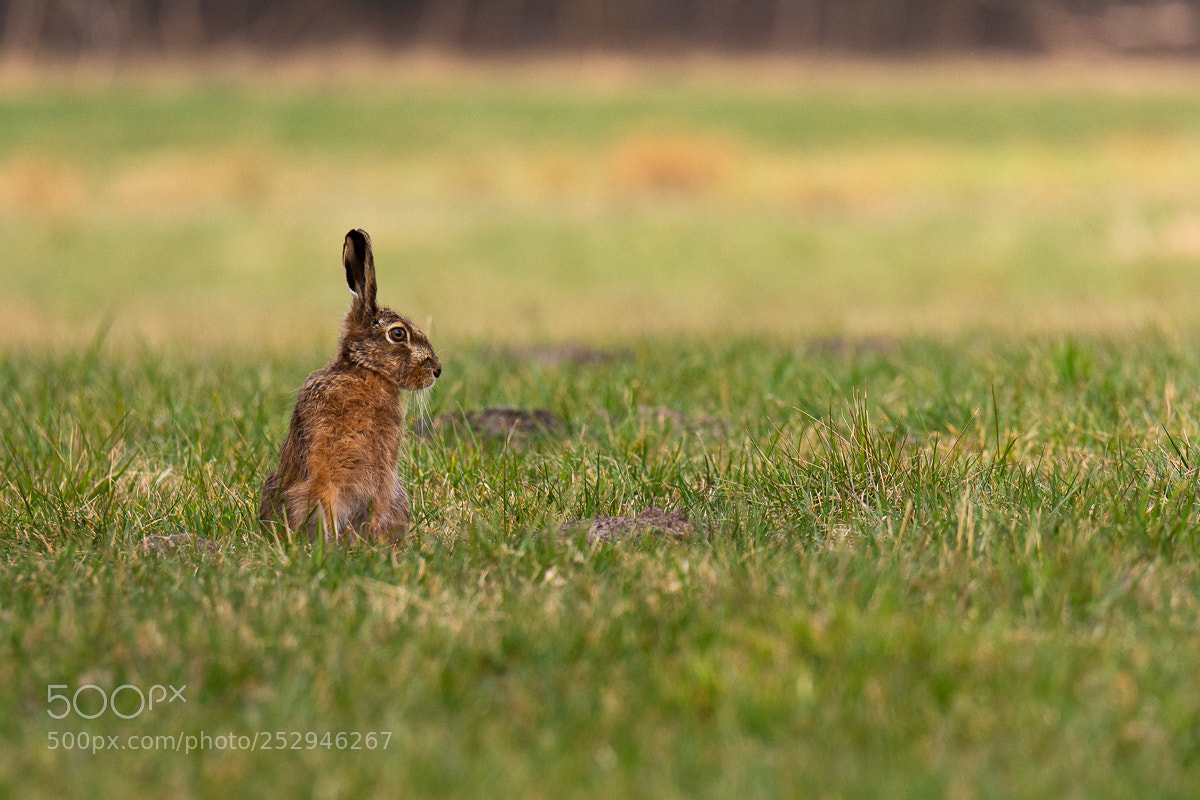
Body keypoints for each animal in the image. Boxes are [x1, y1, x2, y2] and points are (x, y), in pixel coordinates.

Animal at [259, 229, 441, 546]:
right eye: (398, 334)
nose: (437, 370)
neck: (365, 373)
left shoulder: (384, 476)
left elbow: (377, 506)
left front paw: (369, 543)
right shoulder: (322, 470)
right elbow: (324, 500)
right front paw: (332, 544)